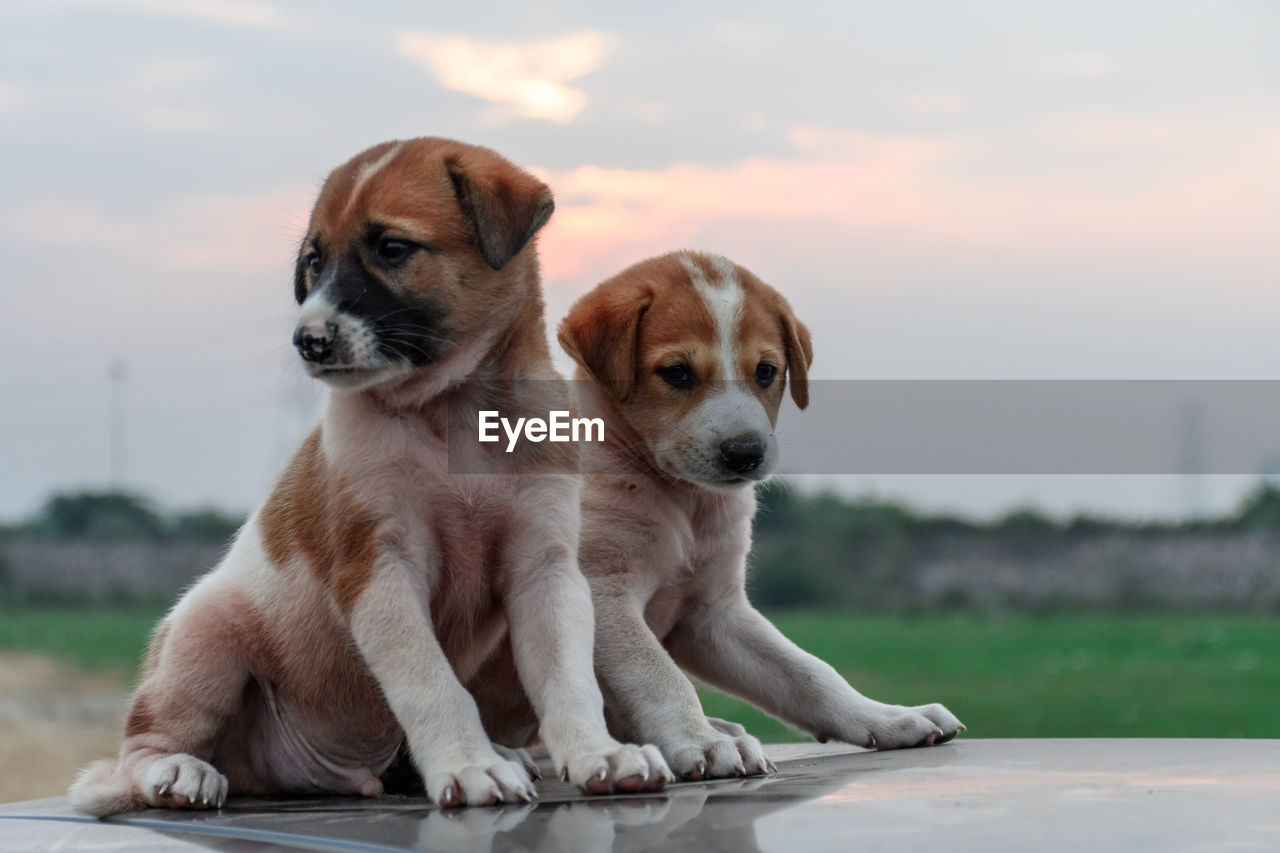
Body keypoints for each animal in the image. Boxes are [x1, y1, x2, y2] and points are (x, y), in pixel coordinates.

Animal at [70, 136, 670, 814]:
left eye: (392, 248)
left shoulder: (546, 570)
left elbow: (569, 679)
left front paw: (600, 753)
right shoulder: (380, 568)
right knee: (140, 747)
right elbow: (430, 682)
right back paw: (178, 772)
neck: (454, 416)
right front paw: (469, 766)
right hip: (203, 638)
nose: (308, 340)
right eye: (313, 262)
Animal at [555, 247, 962, 778]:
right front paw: (701, 741)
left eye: (766, 371)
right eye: (677, 372)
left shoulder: (714, 615)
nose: (745, 453)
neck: (685, 503)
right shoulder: (603, 592)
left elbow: (809, 673)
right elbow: (658, 675)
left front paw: (888, 718)